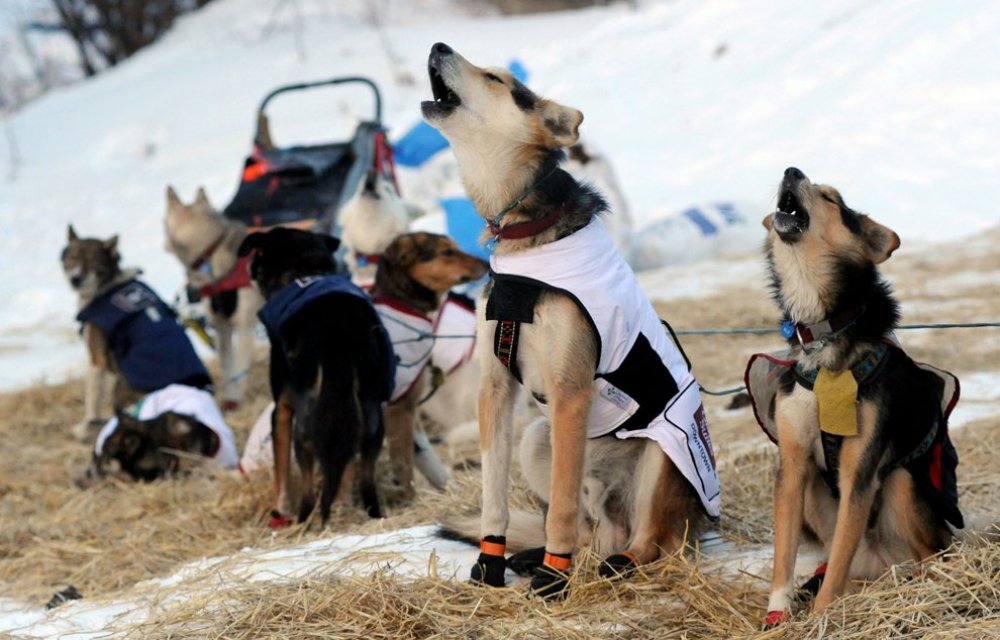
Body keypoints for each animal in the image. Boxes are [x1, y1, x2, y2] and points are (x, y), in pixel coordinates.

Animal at [240, 228, 396, 528]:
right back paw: (366, 511)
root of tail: (340, 334)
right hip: (369, 411)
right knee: (362, 470)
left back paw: (305, 518)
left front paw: (280, 510)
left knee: (309, 477)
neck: (304, 270)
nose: (249, 271)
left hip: (307, 417)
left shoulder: (282, 408)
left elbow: (281, 470)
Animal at [422, 42, 720, 596]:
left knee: (649, 542)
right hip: (536, 439)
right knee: (590, 531)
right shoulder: (495, 389)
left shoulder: (569, 392)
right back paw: (538, 555)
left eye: (496, 79)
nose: (438, 46)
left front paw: (553, 577)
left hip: (664, 452)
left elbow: (559, 507)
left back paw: (612, 563)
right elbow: (494, 497)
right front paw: (490, 564)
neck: (524, 232)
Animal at [752, 168, 968, 628]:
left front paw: (820, 617)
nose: (791, 170)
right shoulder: (792, 465)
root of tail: (880, 566)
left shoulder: (860, 469)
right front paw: (777, 614)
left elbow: (837, 563)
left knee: (932, 554)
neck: (823, 332)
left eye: (831, 199)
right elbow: (784, 556)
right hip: (815, 489)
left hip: (903, 485)